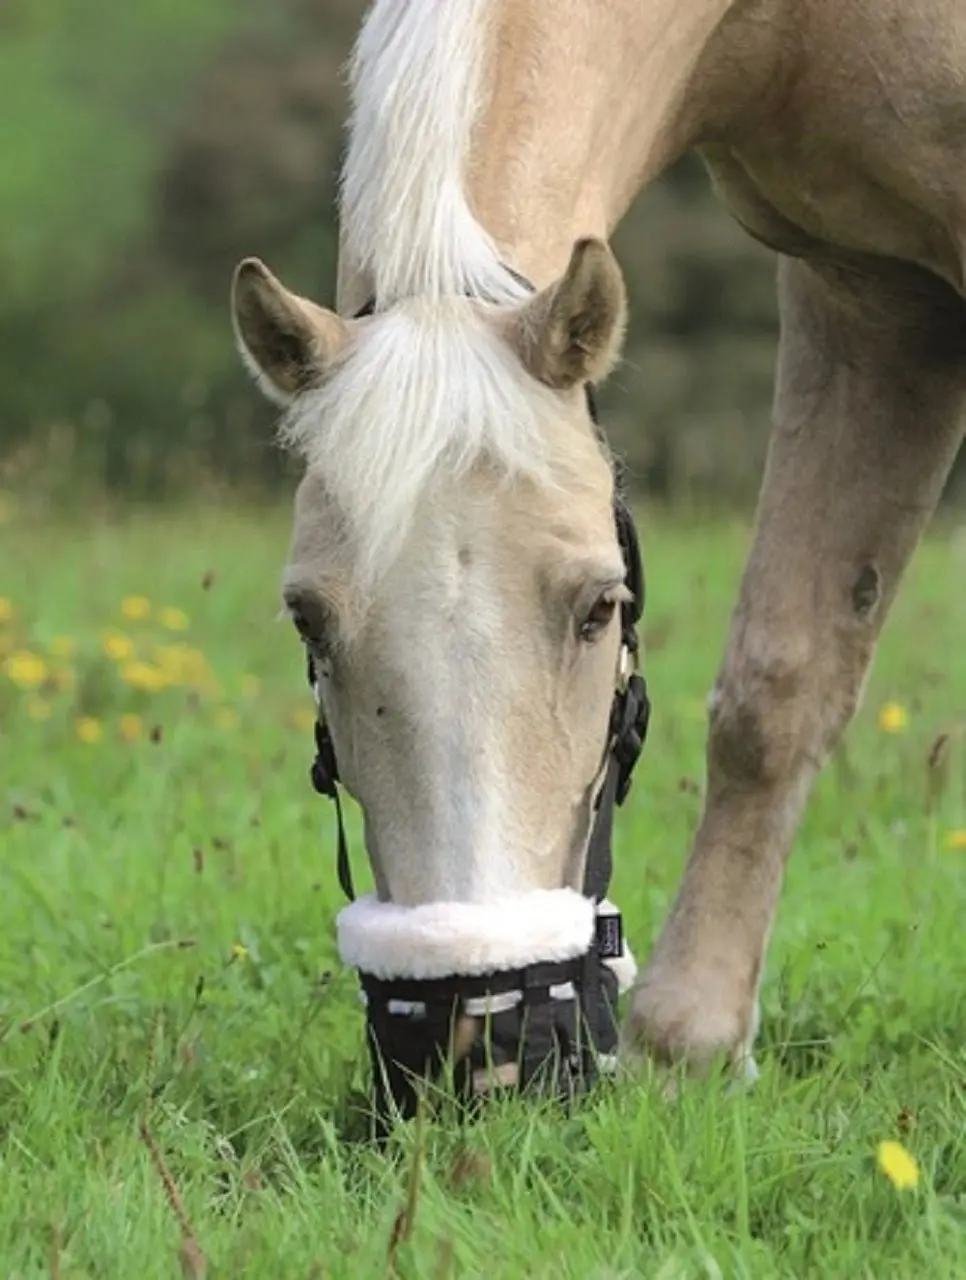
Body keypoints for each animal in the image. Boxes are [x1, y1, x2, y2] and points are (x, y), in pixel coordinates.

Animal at [230, 0, 966, 1115]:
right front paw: (692, 1044)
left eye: (600, 607)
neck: (803, 28)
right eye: (308, 619)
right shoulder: (872, 291)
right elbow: (779, 687)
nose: (479, 1044)